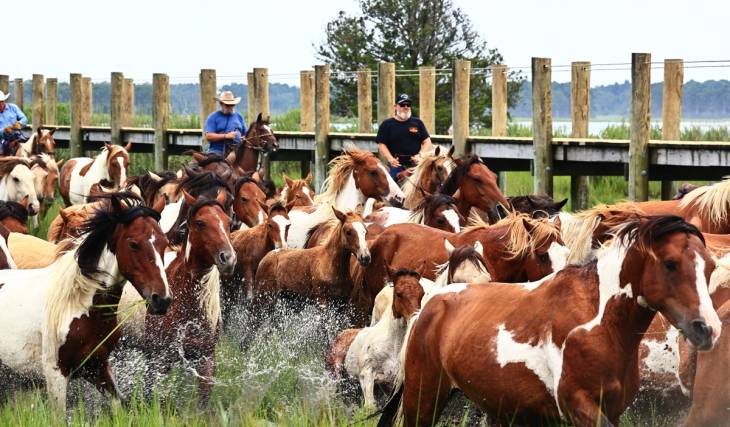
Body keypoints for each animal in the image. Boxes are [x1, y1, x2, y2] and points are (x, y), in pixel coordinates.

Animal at [0, 192, 170, 411]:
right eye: (134, 244)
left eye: (165, 243)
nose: (162, 300)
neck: (77, 304)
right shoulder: (56, 374)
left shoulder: (98, 367)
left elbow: (118, 406)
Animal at [378, 215, 721, 427]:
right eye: (670, 263)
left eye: (710, 266)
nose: (708, 329)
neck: (600, 323)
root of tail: (431, 304)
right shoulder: (577, 405)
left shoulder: (611, 409)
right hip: (423, 399)